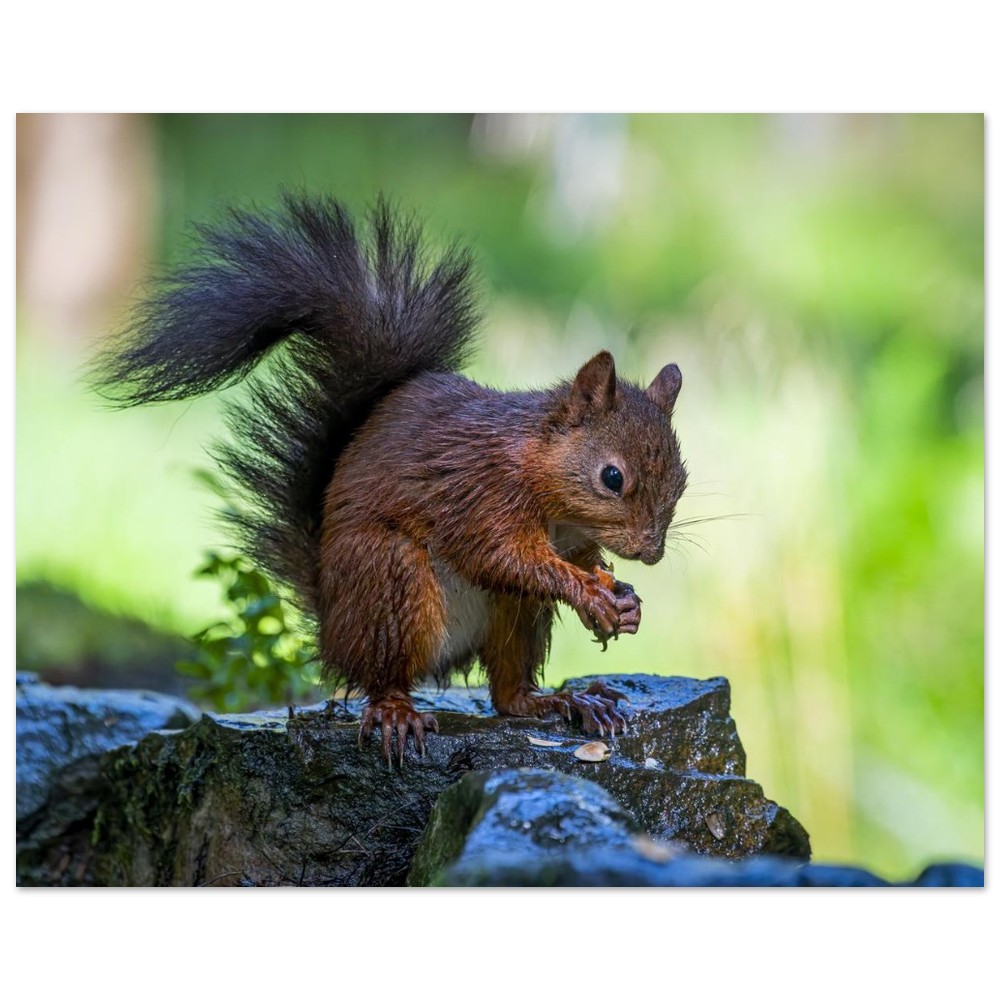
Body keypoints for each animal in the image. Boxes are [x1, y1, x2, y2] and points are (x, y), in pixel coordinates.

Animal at [92, 194, 688, 763]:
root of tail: (331, 626)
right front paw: (589, 592)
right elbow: (504, 557)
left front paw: (622, 598)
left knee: (507, 693)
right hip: (389, 581)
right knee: (383, 676)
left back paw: (563, 700)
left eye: (682, 480)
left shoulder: (569, 535)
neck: (545, 482)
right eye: (612, 477)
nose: (652, 552)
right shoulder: (479, 494)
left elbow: (578, 559)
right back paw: (397, 711)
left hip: (513, 614)